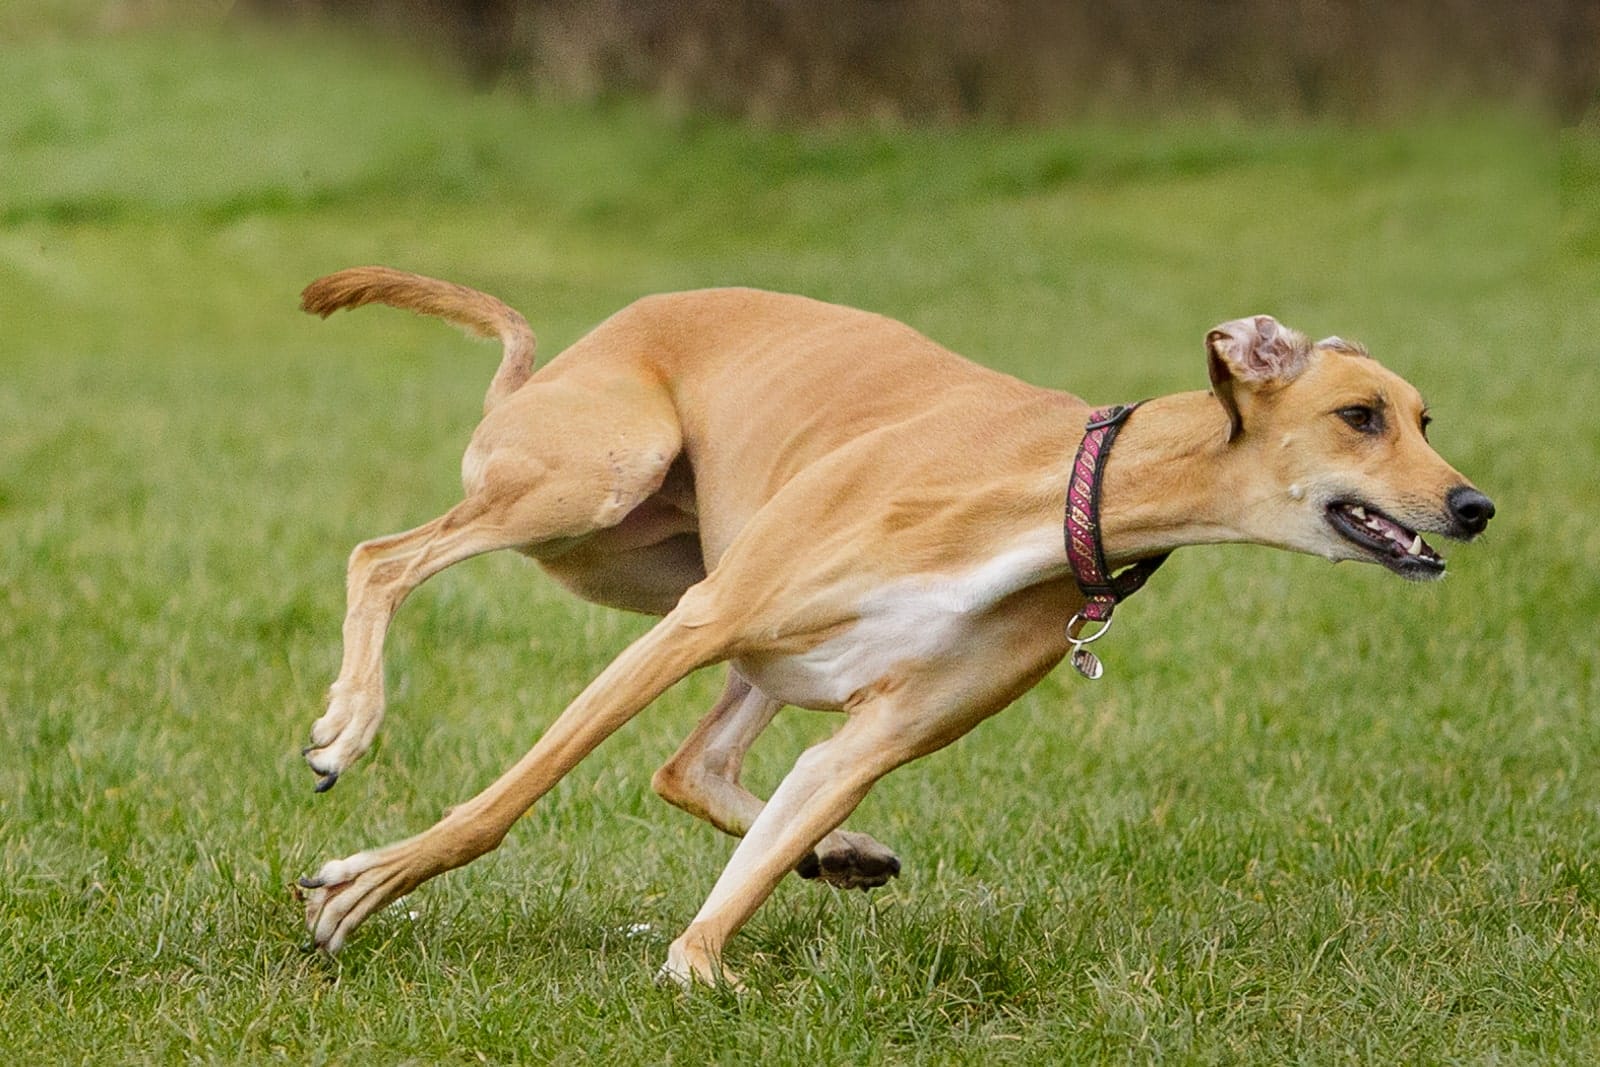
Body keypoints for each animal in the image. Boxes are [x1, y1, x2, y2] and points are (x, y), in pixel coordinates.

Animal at [294, 271, 1491, 991]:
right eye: (1359, 414)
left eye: (1424, 417)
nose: (1474, 505)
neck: (1069, 485)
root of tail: (550, 366)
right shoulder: (694, 626)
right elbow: (501, 802)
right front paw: (370, 884)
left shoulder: (874, 735)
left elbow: (735, 890)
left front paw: (708, 954)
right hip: (596, 498)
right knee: (381, 557)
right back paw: (347, 724)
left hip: (689, 589)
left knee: (697, 763)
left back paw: (838, 851)